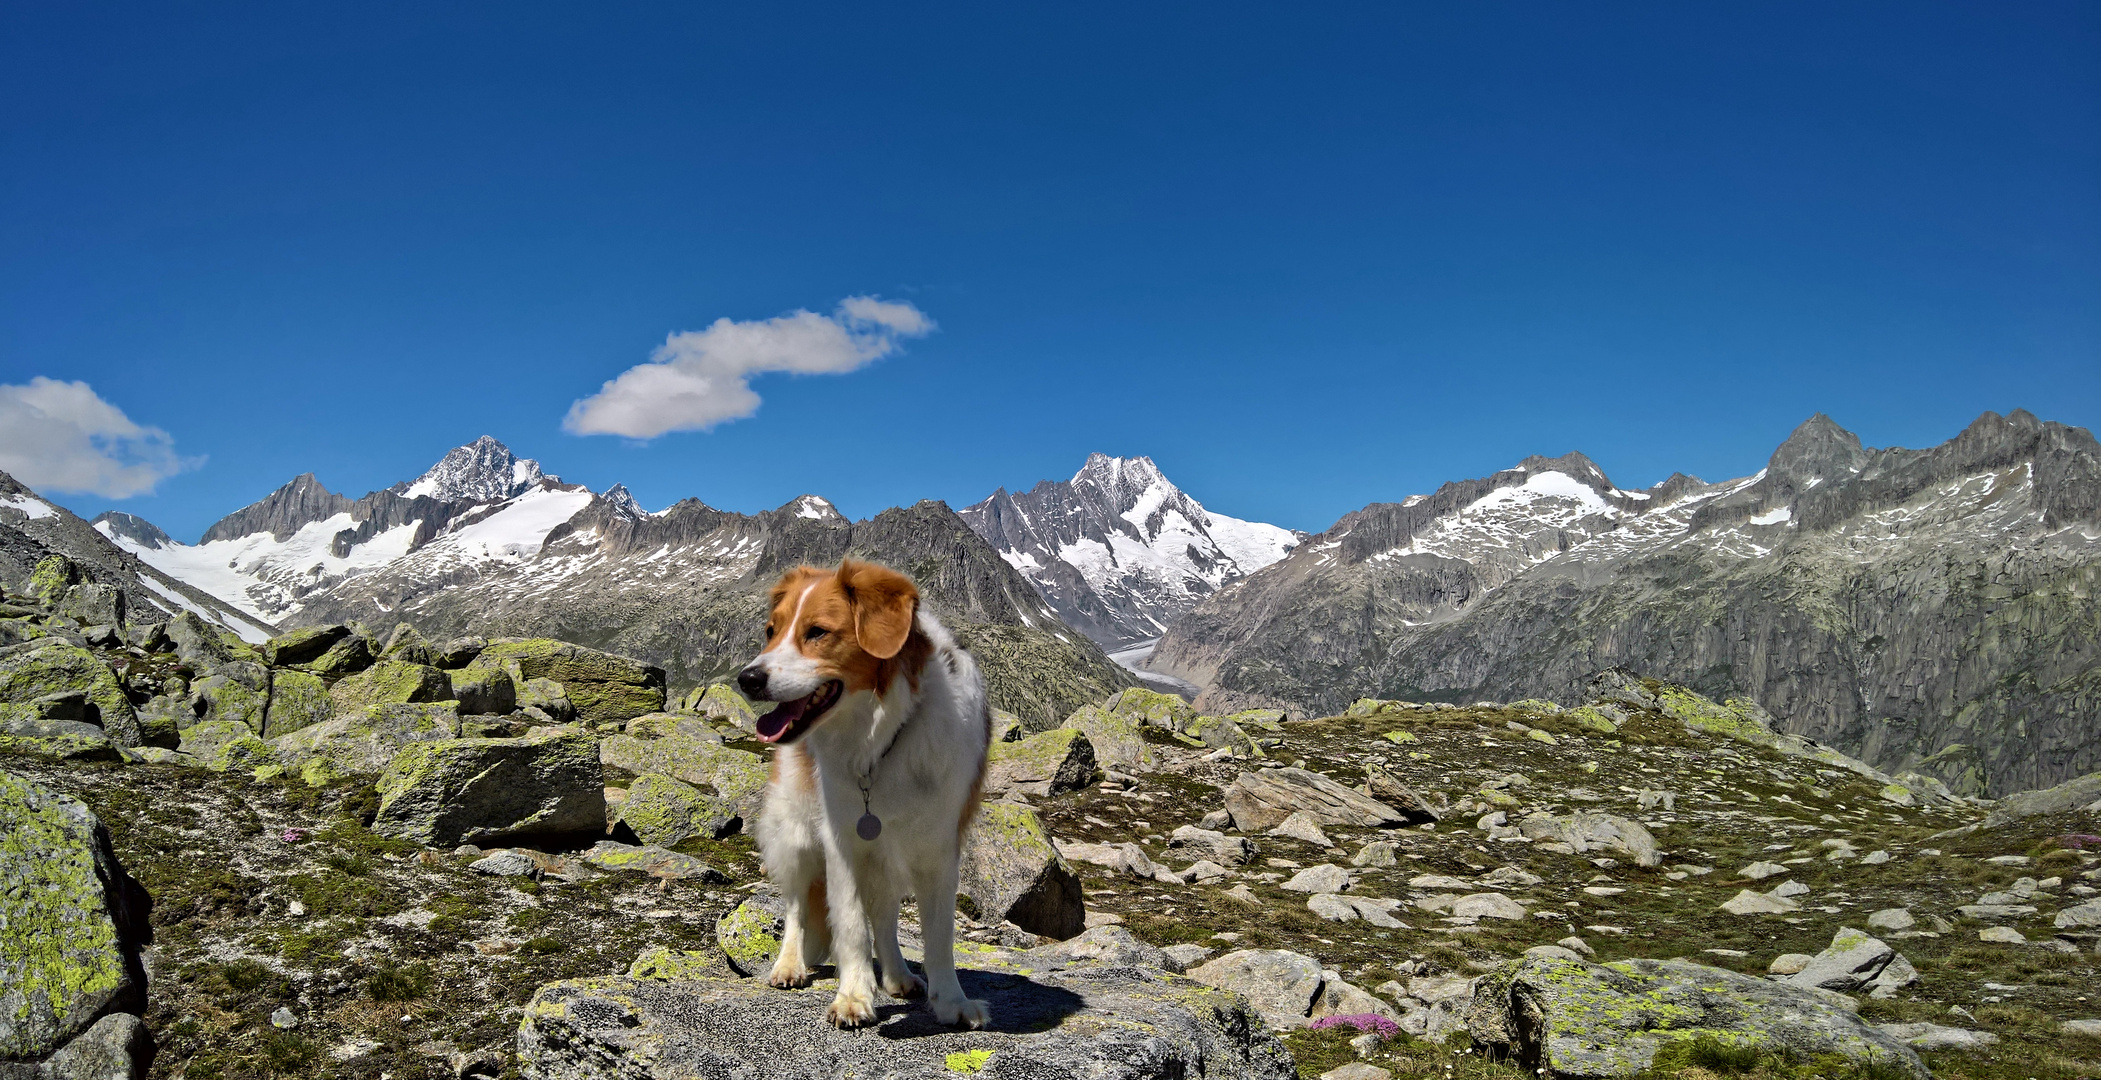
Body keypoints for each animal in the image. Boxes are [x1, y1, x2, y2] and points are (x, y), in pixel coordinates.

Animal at [735, 554, 995, 1025]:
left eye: (817, 632)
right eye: (771, 630)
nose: (748, 678)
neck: (880, 738)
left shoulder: (938, 849)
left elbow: (939, 936)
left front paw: (952, 1002)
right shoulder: (843, 842)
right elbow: (852, 925)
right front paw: (854, 997)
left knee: (885, 916)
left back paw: (898, 975)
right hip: (796, 834)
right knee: (797, 907)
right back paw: (789, 965)